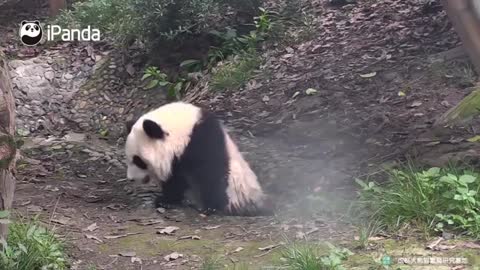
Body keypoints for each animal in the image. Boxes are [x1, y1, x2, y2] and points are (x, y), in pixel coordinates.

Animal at [124, 102, 274, 217]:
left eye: (138, 161)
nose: (130, 178)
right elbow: (176, 179)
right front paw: (166, 199)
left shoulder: (201, 142)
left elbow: (210, 173)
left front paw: (211, 206)